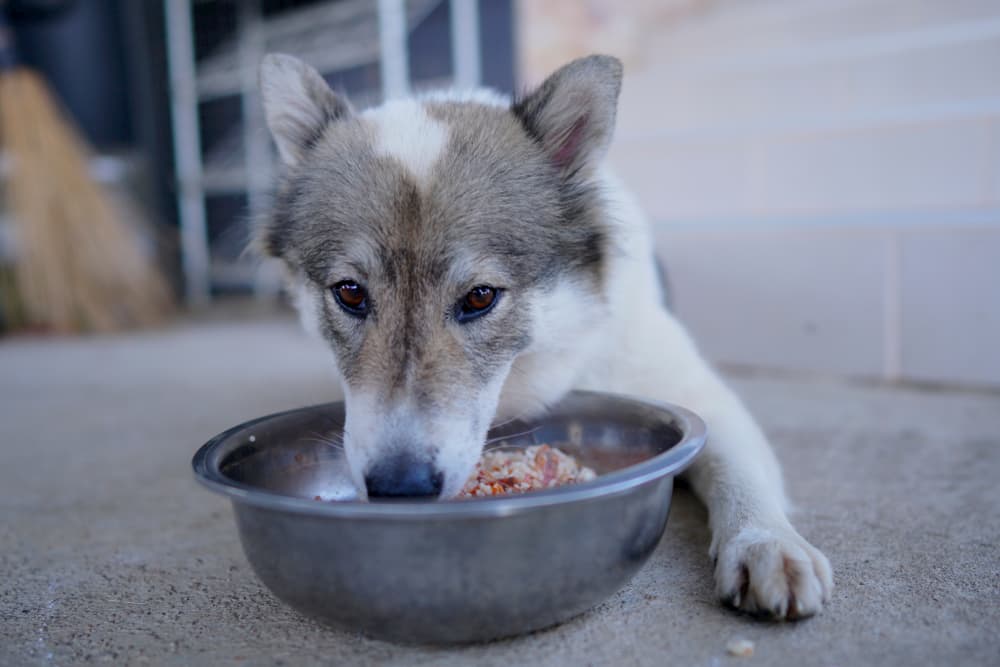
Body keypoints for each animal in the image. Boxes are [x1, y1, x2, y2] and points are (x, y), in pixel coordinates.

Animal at [254, 52, 832, 620]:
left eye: (481, 297)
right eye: (350, 293)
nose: (400, 488)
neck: (525, 365)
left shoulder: (701, 397)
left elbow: (740, 471)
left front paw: (766, 543)